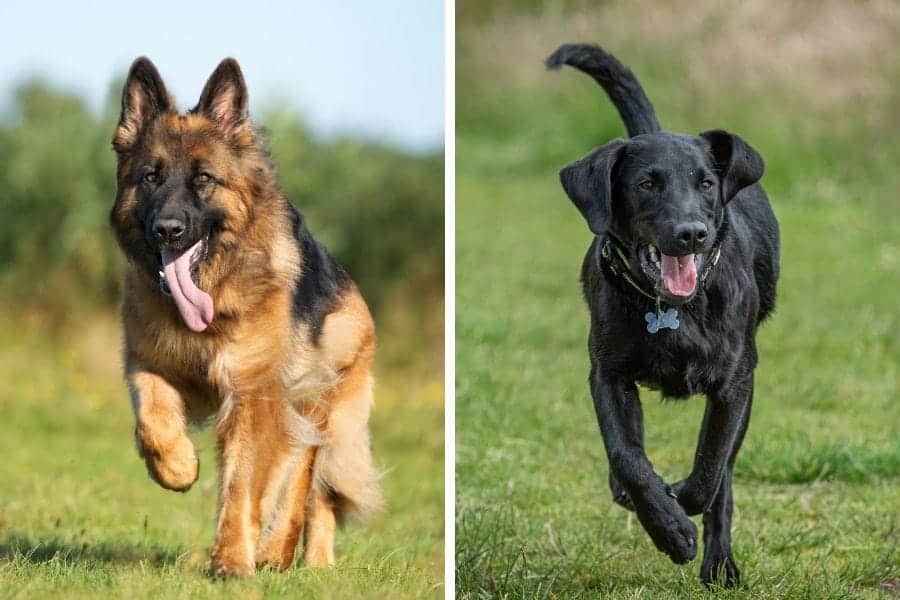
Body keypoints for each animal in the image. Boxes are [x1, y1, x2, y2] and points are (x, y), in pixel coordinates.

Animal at [544, 44, 776, 588]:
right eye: (647, 184)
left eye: (707, 183)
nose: (691, 233)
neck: (670, 309)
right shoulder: (608, 375)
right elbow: (627, 455)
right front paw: (666, 525)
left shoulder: (735, 384)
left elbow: (710, 469)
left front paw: (680, 513)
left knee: (724, 478)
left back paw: (720, 565)